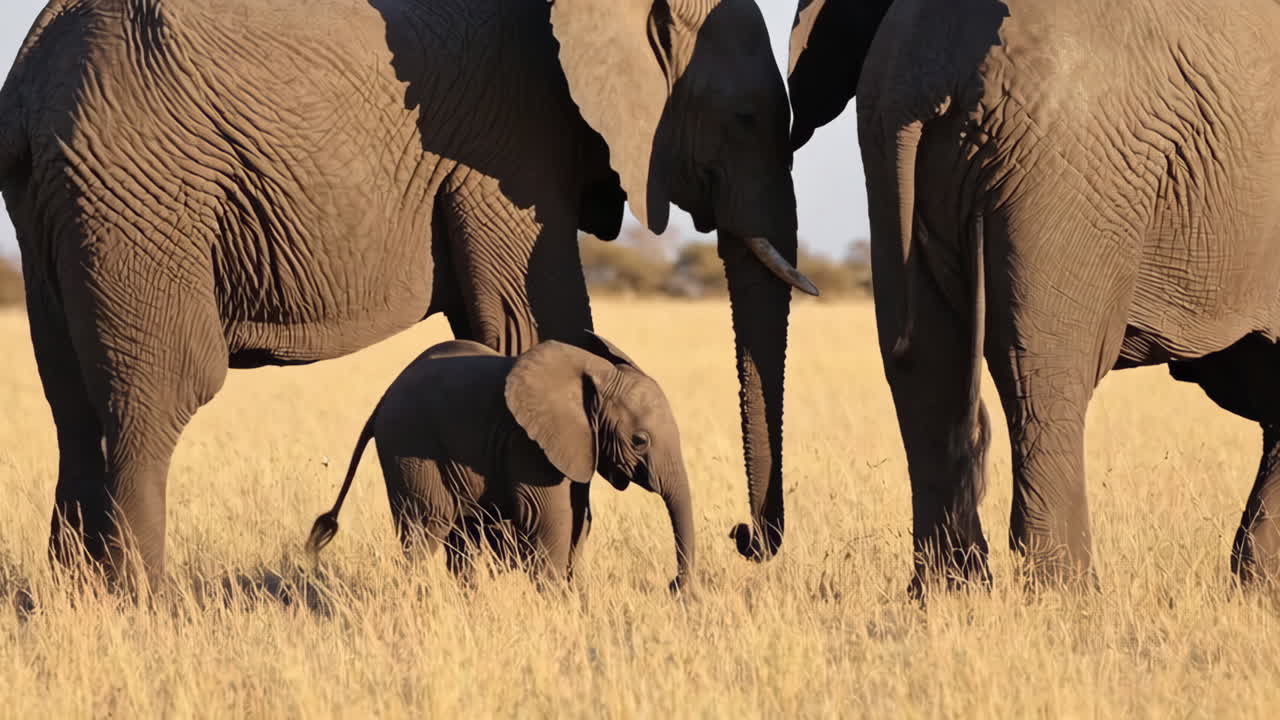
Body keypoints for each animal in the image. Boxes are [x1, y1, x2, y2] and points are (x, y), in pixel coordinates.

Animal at [305, 333, 693, 590]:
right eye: (640, 441)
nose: (672, 585)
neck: (596, 374)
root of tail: (383, 399)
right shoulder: (527, 443)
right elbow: (551, 518)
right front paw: (554, 602)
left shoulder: (577, 444)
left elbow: (580, 519)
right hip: (408, 444)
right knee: (426, 527)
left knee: (459, 538)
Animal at [788, 0, 1280, 590]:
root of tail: (928, 77)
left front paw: (1255, 587)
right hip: (1071, 169)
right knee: (1045, 374)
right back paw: (1069, 595)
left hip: (890, 156)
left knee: (926, 371)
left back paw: (947, 594)